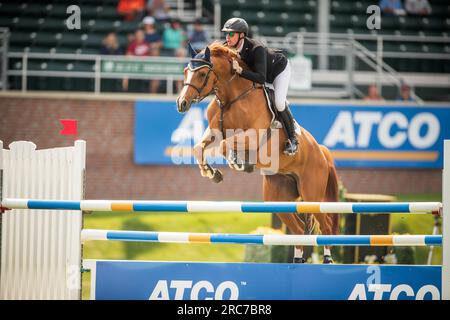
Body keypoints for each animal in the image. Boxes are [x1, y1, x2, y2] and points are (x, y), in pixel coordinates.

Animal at [176, 42, 338, 262]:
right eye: (186, 71)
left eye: (201, 74)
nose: (181, 103)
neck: (231, 97)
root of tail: (321, 151)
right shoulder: (214, 131)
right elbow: (198, 148)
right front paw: (212, 173)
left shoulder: (253, 136)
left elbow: (225, 145)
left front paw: (238, 163)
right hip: (277, 197)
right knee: (298, 229)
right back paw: (297, 261)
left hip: (312, 194)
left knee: (326, 225)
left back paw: (327, 260)